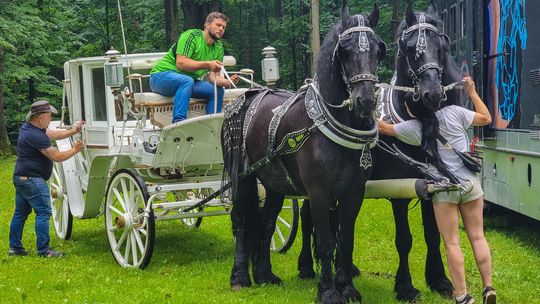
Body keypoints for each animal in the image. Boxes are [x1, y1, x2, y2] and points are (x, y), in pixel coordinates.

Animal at [221, 1, 386, 302]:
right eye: (344, 50)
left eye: (379, 49)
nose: (366, 100)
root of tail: (246, 96)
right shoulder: (318, 192)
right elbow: (326, 241)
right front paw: (328, 291)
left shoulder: (355, 192)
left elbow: (346, 240)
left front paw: (347, 287)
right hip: (243, 177)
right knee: (241, 221)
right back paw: (240, 277)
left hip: (274, 183)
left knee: (266, 223)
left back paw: (264, 274)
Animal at [298, 1, 462, 302]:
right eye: (409, 47)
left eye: (442, 45)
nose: (432, 93)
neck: (416, 122)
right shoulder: (399, 189)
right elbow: (405, 239)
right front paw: (406, 286)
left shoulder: (432, 184)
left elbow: (432, 234)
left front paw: (439, 279)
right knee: (307, 217)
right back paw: (305, 266)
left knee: (337, 222)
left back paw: (348, 268)